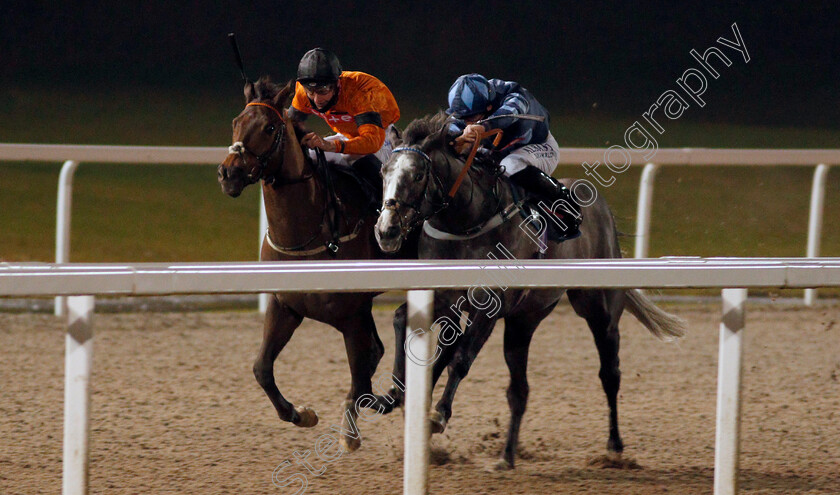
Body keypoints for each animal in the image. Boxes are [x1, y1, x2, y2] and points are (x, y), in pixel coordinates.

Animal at [218, 78, 412, 454]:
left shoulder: (352, 315)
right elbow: (262, 368)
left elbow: (363, 379)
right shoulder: (286, 306)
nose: (228, 173)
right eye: (236, 121)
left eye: (269, 127)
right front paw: (301, 414)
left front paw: (353, 430)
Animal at [378, 113, 684, 472]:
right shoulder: (444, 297)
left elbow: (461, 359)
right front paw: (395, 394)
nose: (387, 231)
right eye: (384, 171)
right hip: (523, 322)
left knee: (610, 373)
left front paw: (438, 414)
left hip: (598, 310)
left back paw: (613, 447)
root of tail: (603, 212)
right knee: (519, 390)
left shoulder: (489, 305)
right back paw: (507, 455)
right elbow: (403, 322)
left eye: (417, 174)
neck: (467, 220)